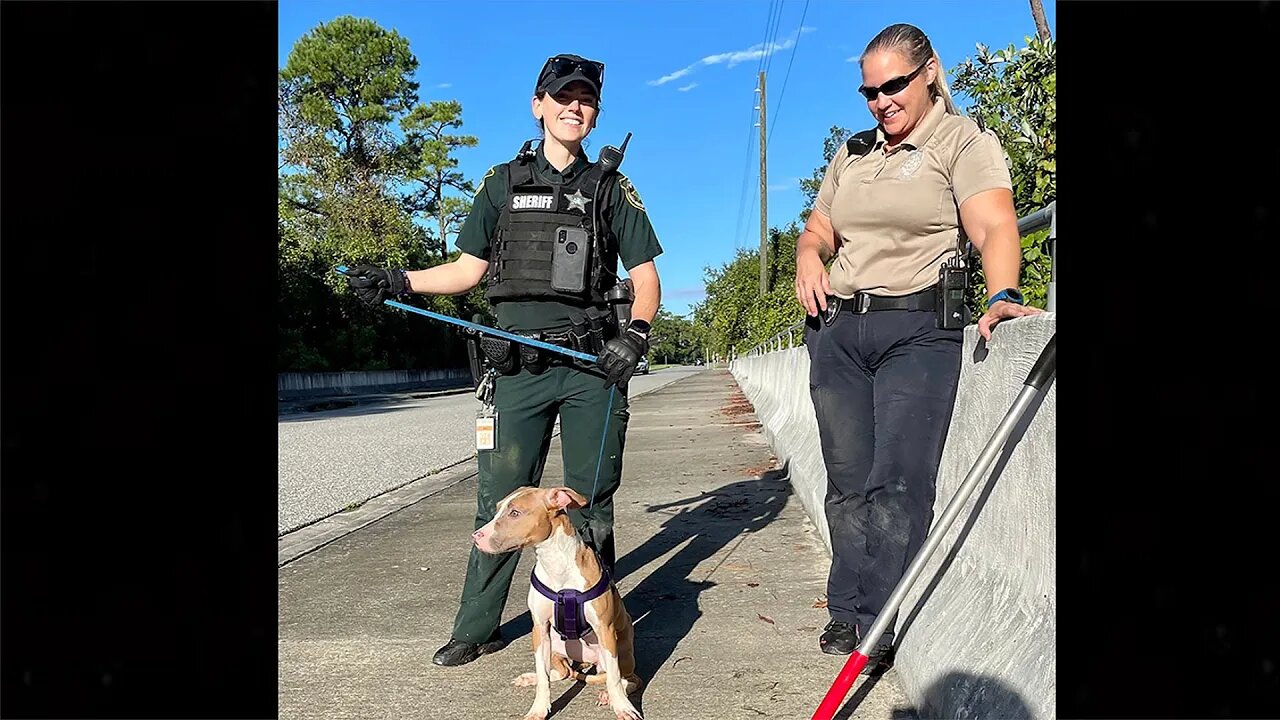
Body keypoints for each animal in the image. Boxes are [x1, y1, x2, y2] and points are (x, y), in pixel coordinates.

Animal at [473, 481, 640, 717]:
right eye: (497, 509)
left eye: (515, 513)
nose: (476, 536)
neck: (555, 563)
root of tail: (586, 660)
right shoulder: (540, 628)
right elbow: (544, 677)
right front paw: (538, 709)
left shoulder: (604, 628)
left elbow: (615, 678)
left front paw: (623, 708)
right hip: (553, 645)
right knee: (563, 672)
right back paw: (530, 677)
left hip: (621, 650)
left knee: (625, 678)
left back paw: (610, 695)